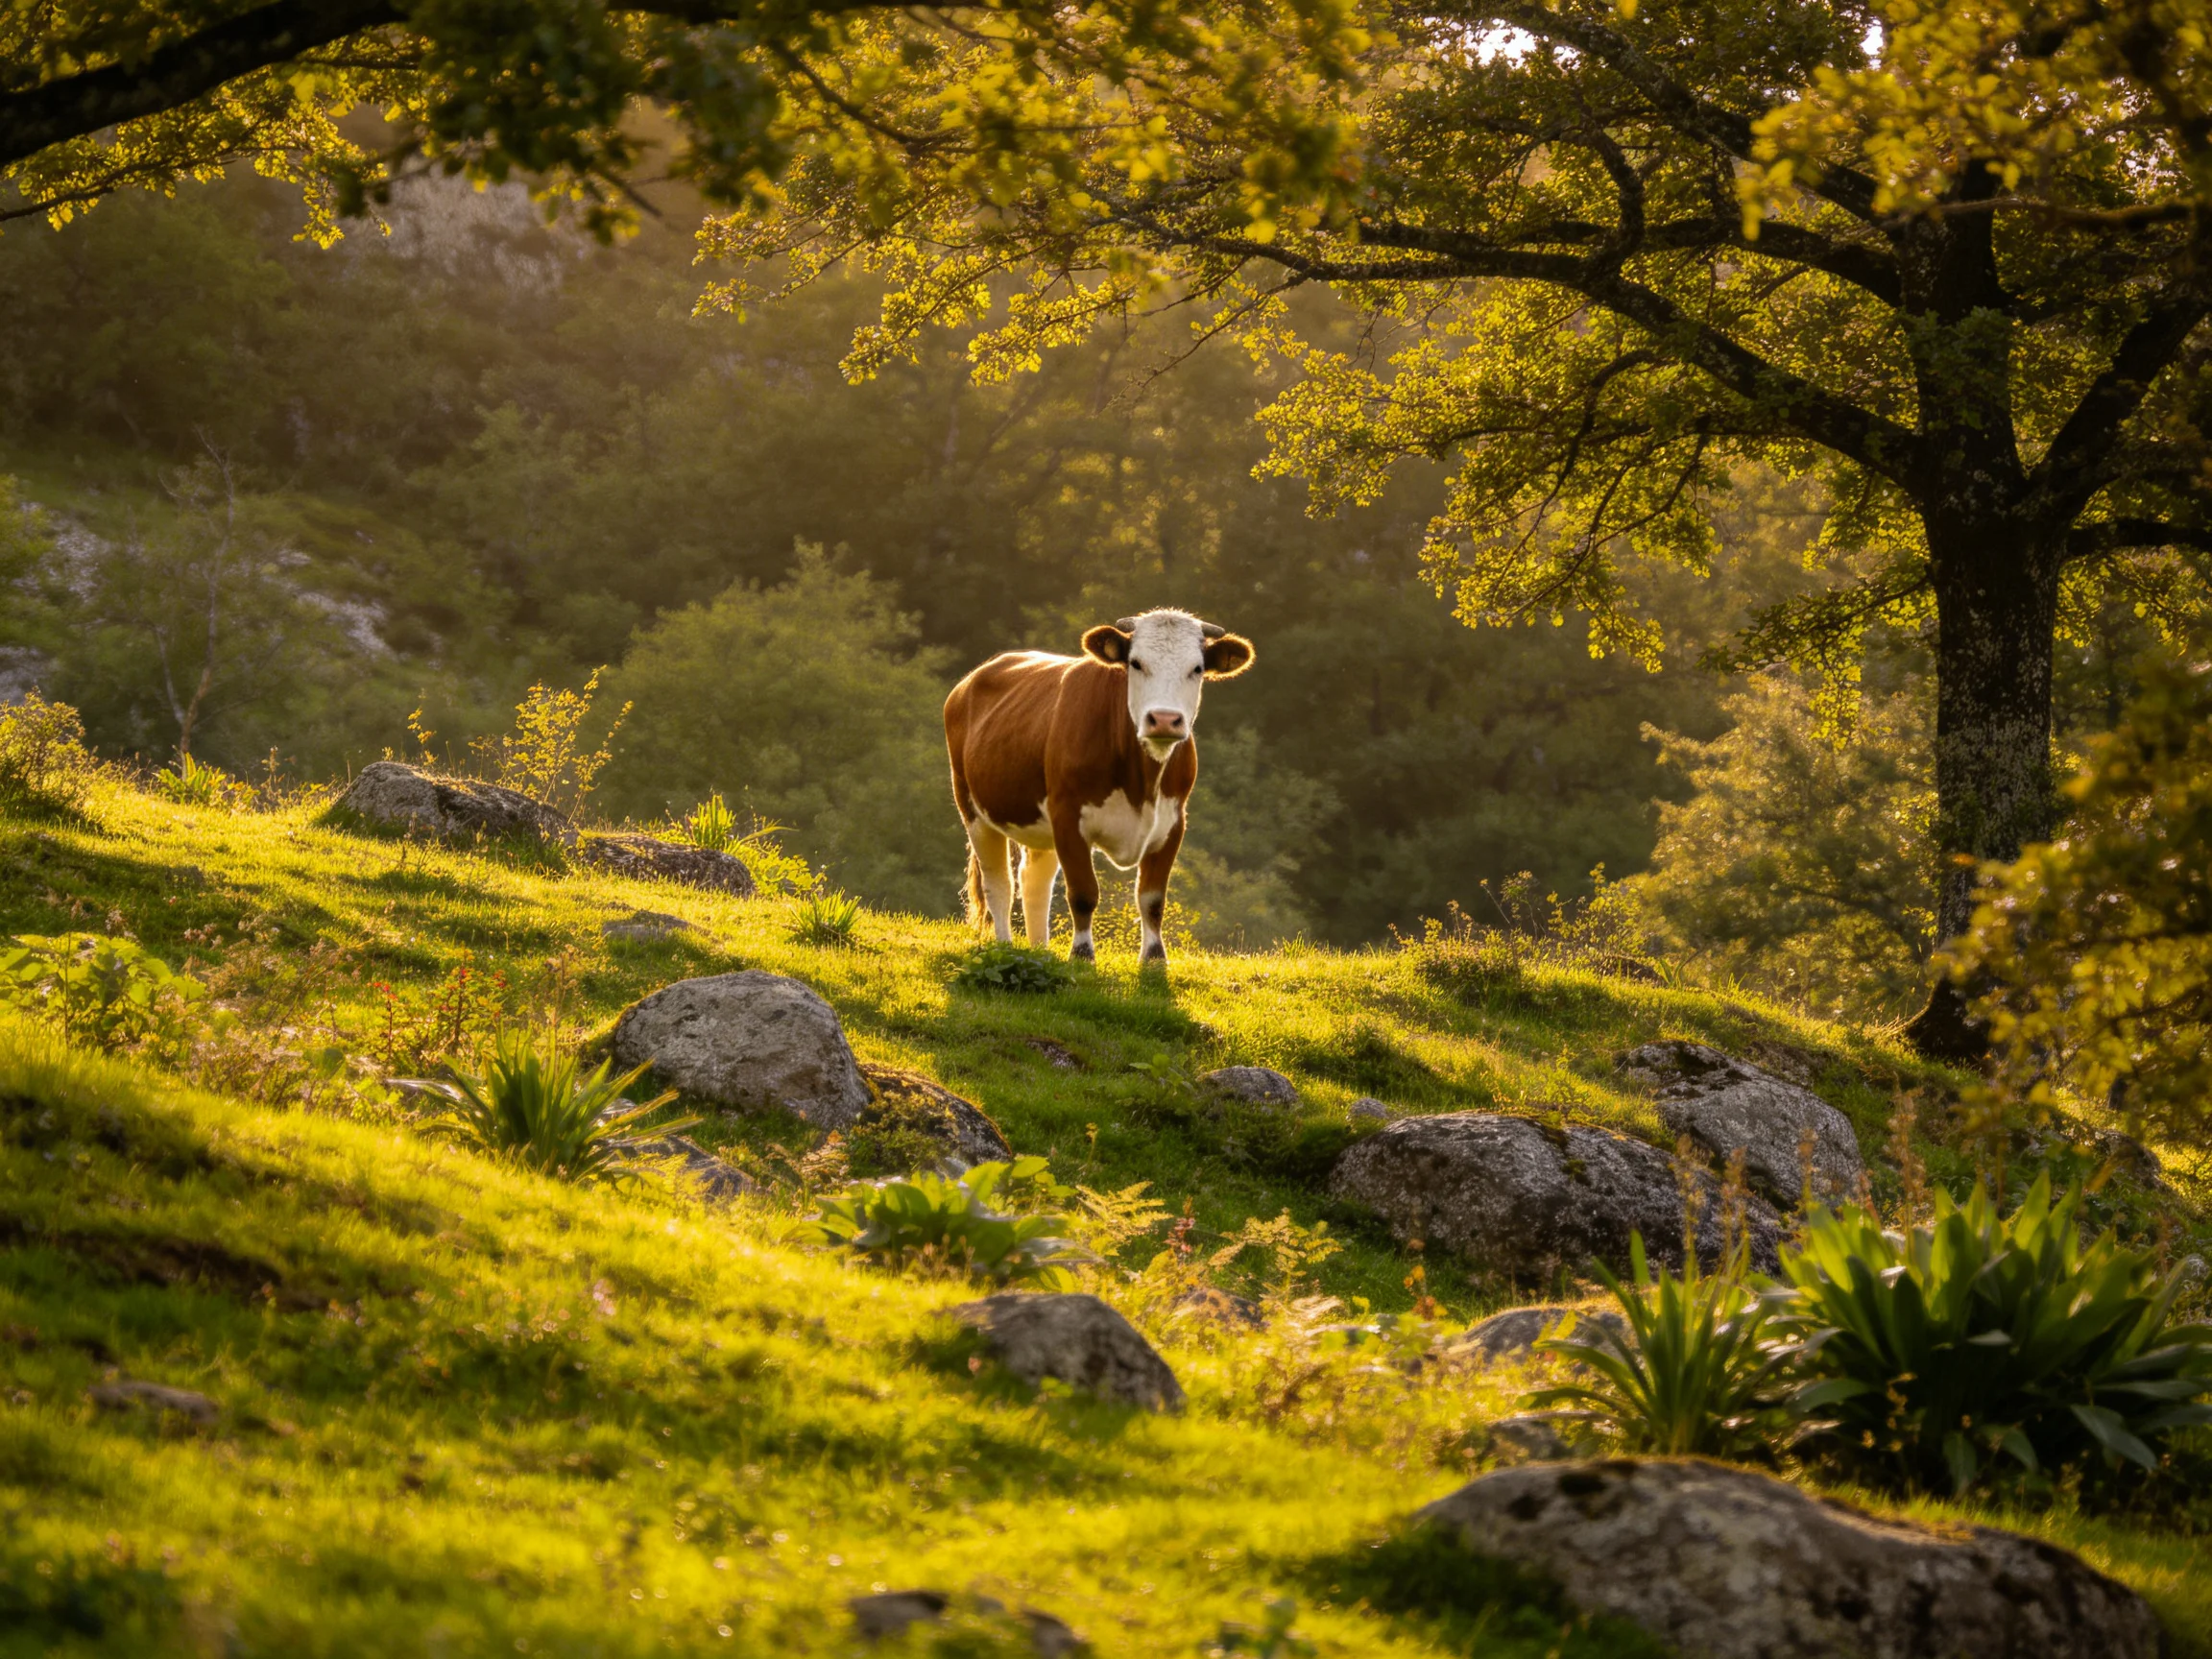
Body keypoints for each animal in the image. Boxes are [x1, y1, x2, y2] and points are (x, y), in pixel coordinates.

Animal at [944, 609, 1255, 963]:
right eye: (1136, 663)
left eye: (1197, 668)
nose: (1164, 719)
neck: (1141, 783)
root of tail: (972, 679)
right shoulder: (1068, 816)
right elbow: (1083, 893)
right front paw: (1082, 955)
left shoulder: (1173, 822)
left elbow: (1152, 898)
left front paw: (1154, 959)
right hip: (972, 808)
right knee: (999, 884)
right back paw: (1005, 947)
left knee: (1033, 882)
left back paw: (1040, 952)